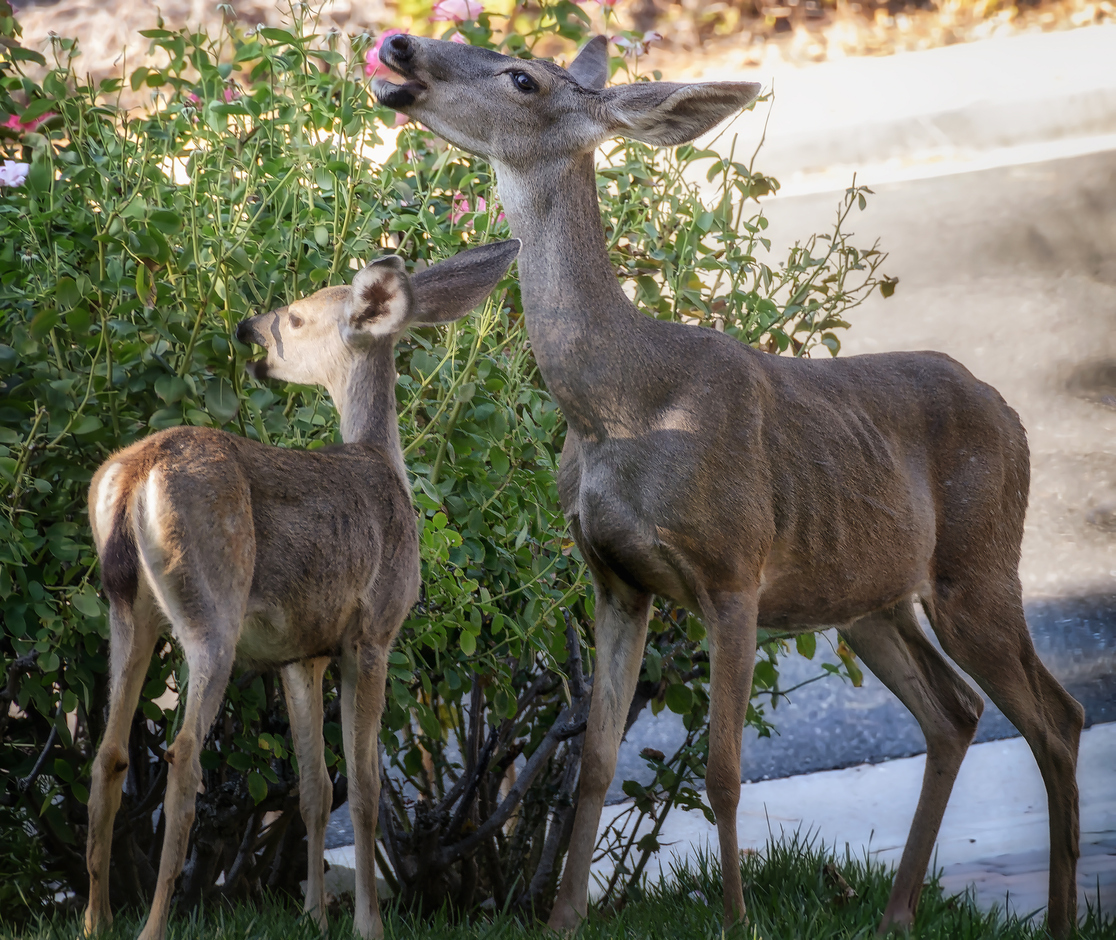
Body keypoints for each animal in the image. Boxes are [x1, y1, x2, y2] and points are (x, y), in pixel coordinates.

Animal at [84, 237, 520, 933]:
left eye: (292, 317)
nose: (246, 327)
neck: (384, 465)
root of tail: (134, 475)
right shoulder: (373, 631)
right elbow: (364, 788)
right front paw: (368, 924)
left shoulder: (301, 652)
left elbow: (316, 786)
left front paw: (315, 914)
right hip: (213, 608)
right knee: (182, 755)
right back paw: (152, 926)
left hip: (128, 608)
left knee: (109, 754)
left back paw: (94, 921)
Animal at [372, 32, 1080, 933]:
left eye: (522, 78)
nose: (398, 46)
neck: (618, 405)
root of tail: (1013, 413)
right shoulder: (614, 580)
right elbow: (595, 760)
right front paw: (564, 919)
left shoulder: (734, 571)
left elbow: (722, 771)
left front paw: (736, 920)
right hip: (868, 599)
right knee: (955, 714)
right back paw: (895, 913)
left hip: (980, 564)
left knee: (1057, 718)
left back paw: (1056, 917)